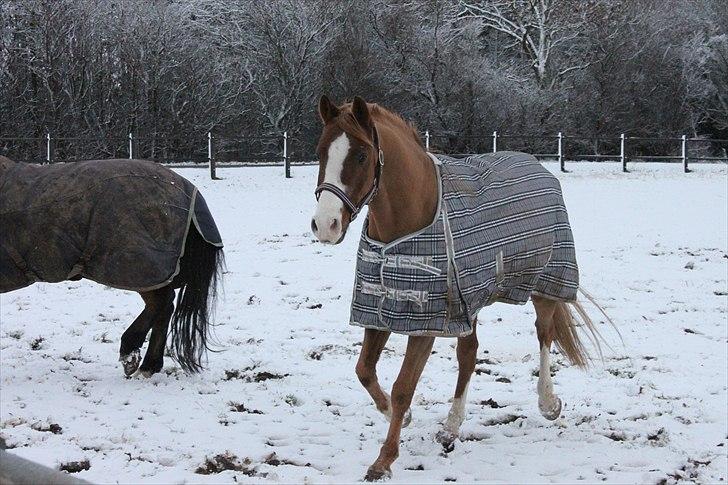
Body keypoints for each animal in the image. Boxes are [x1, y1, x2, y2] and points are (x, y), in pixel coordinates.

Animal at [0, 157, 222, 376]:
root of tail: (186, 188)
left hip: (139, 267)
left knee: (162, 301)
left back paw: (130, 351)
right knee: (165, 306)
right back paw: (149, 365)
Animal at [310, 96, 600, 478]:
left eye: (360, 155)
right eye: (321, 151)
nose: (325, 224)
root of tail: (541, 167)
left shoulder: (425, 323)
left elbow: (403, 387)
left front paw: (384, 460)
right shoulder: (381, 310)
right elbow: (364, 371)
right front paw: (399, 417)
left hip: (545, 282)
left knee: (544, 333)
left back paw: (548, 403)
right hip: (468, 304)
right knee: (469, 353)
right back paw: (451, 426)